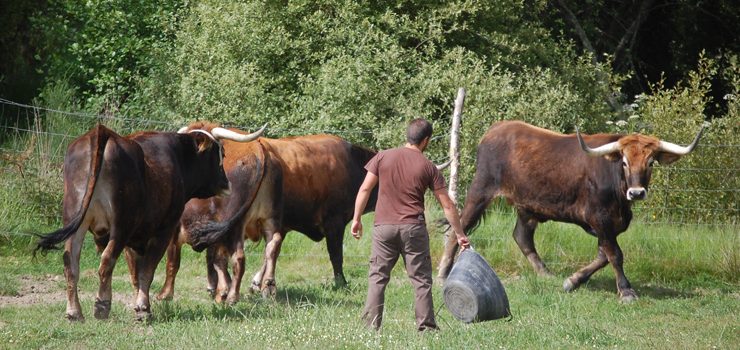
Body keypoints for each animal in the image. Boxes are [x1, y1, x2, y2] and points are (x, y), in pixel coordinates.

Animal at [36, 123, 266, 320]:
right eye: (220, 154)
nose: (226, 183)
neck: (177, 159)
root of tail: (102, 132)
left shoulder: (133, 240)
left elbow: (136, 274)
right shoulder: (164, 230)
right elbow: (147, 271)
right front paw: (143, 308)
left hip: (76, 222)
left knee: (71, 263)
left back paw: (74, 311)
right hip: (121, 227)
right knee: (106, 260)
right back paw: (101, 306)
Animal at [155, 123, 376, 304]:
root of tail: (259, 149)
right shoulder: (329, 223)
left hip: (238, 224)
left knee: (237, 256)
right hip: (257, 220)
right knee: (266, 247)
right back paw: (261, 287)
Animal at [440, 119, 704, 300]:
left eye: (650, 163)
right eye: (625, 162)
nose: (637, 193)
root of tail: (495, 130)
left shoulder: (610, 226)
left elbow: (603, 255)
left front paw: (573, 281)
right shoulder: (600, 219)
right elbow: (615, 255)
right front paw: (626, 290)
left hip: (527, 207)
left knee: (522, 237)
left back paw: (545, 273)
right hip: (480, 191)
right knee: (458, 228)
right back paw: (443, 272)